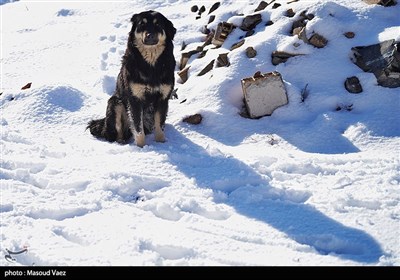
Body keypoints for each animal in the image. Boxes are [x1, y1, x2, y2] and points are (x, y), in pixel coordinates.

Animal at [88, 10, 176, 148]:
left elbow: (159, 127)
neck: (151, 65)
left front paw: (162, 144)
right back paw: (121, 143)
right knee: (119, 131)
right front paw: (141, 148)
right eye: (142, 24)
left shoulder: (163, 99)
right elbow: (138, 129)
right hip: (116, 103)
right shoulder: (135, 100)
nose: (150, 36)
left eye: (158, 24)